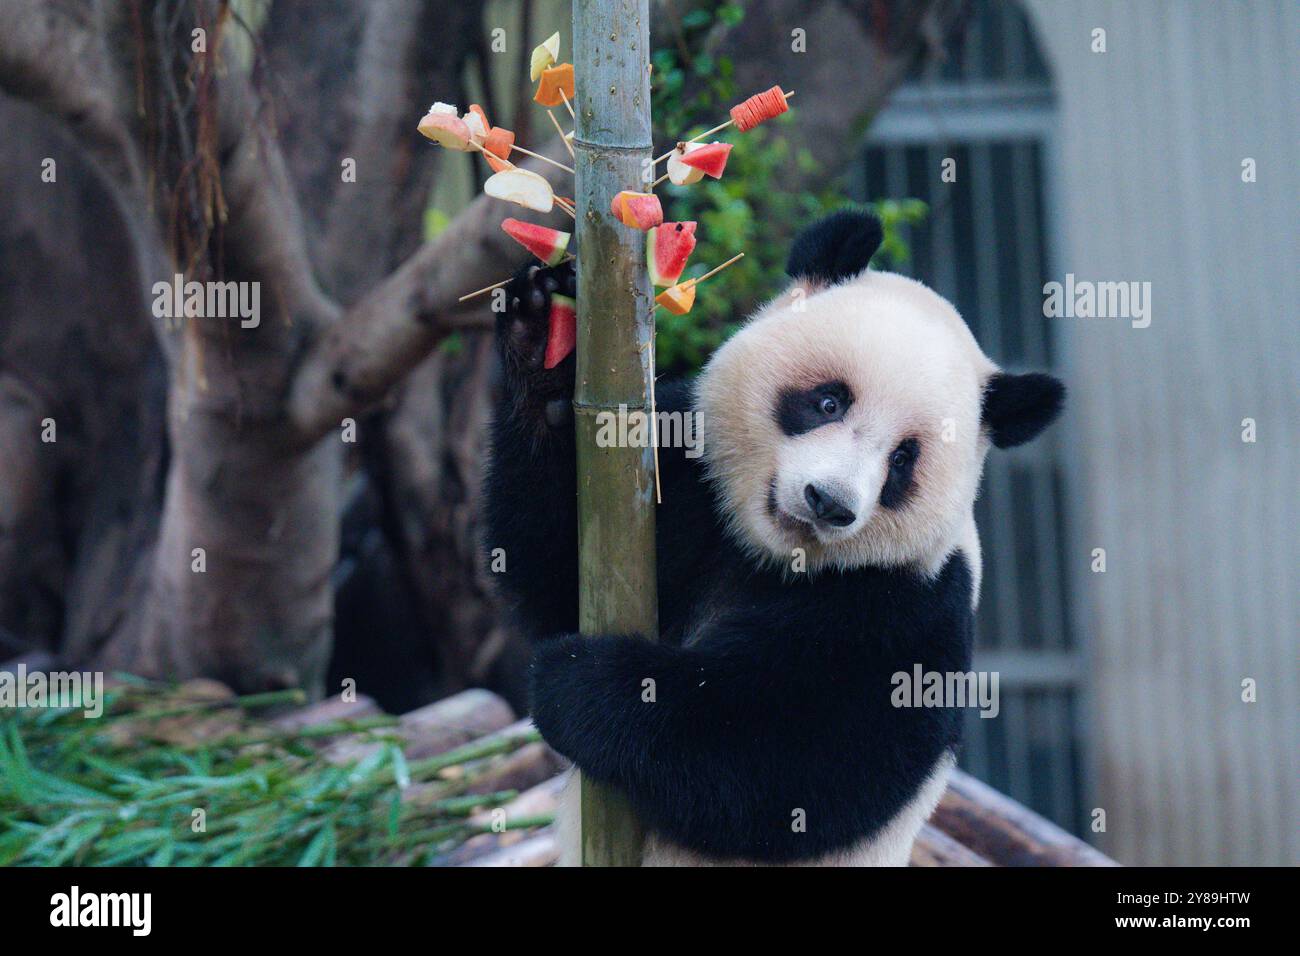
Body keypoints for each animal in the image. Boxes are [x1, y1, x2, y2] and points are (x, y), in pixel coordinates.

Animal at [488, 210, 1066, 868]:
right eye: (829, 401)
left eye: (902, 461)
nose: (830, 503)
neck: (772, 554)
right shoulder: (687, 485)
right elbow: (557, 578)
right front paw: (541, 335)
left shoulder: (911, 598)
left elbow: (798, 763)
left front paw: (583, 683)